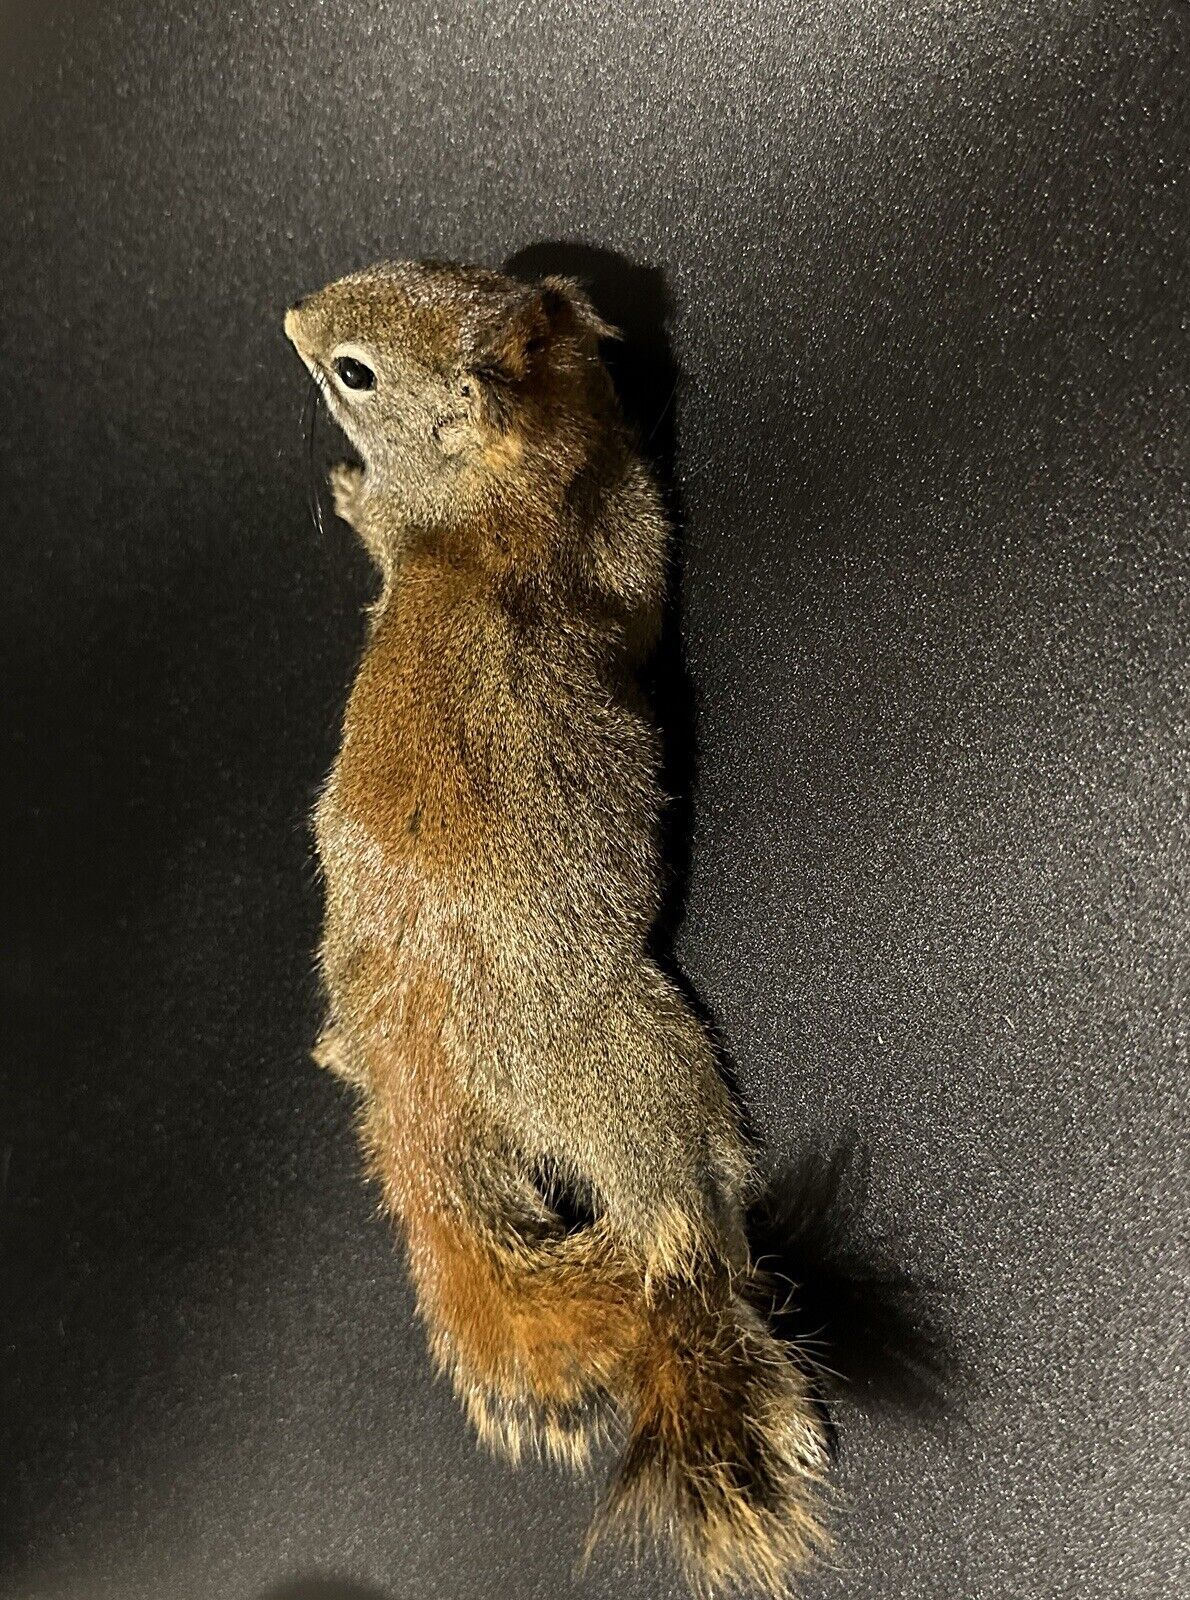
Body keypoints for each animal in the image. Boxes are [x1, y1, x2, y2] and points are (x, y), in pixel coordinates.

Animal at [283, 259, 830, 1595]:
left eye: (354, 370)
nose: (294, 323)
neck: (477, 503)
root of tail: (416, 1078)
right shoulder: (608, 542)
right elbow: (638, 583)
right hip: (619, 1057)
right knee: (671, 1196)